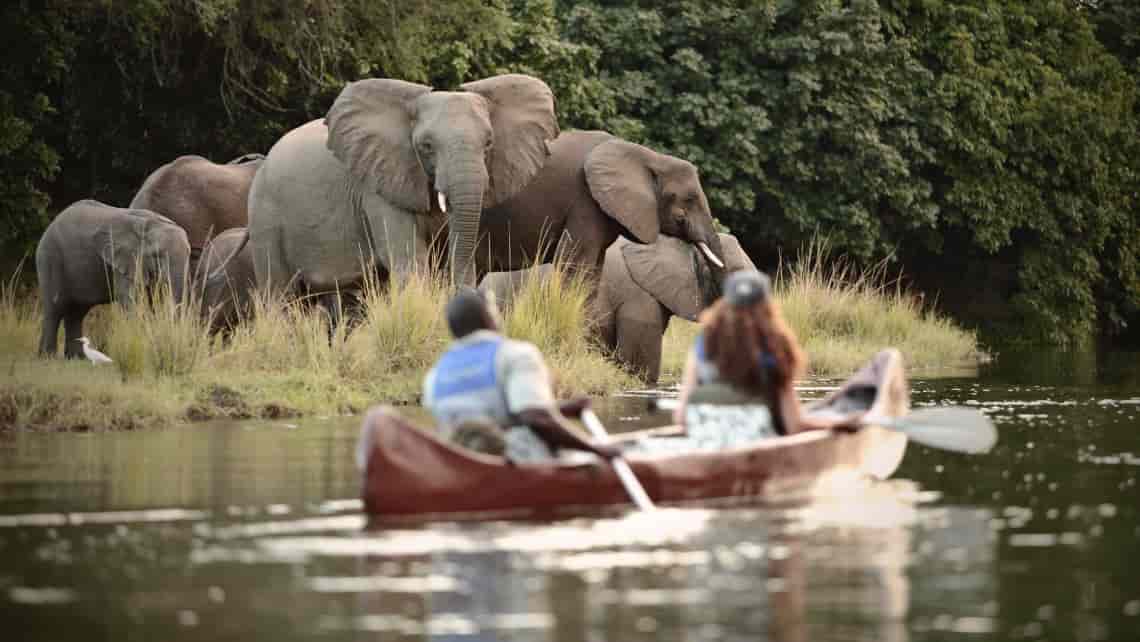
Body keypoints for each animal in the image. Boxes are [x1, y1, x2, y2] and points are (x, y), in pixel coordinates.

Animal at [36, 200, 190, 360]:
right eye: (157, 255)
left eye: (189, 253)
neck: (152, 223)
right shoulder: (123, 257)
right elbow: (129, 297)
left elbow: (152, 298)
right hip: (50, 258)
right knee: (55, 308)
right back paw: (47, 357)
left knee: (77, 312)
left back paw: (77, 358)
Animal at [247, 74, 558, 305]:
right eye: (426, 146)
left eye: (489, 143)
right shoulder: (377, 184)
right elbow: (411, 262)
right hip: (265, 218)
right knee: (281, 296)